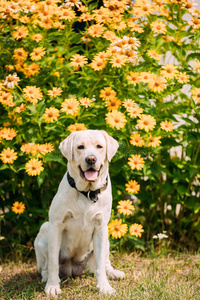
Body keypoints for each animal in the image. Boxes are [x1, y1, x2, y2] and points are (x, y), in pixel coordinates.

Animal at [34, 129, 125, 296]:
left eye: (99, 146)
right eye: (80, 147)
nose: (91, 159)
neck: (87, 192)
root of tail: (73, 269)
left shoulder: (101, 227)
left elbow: (100, 265)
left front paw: (104, 287)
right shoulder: (56, 225)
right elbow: (53, 263)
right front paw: (52, 286)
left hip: (107, 239)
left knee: (104, 263)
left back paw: (113, 273)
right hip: (45, 228)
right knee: (45, 266)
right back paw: (46, 278)